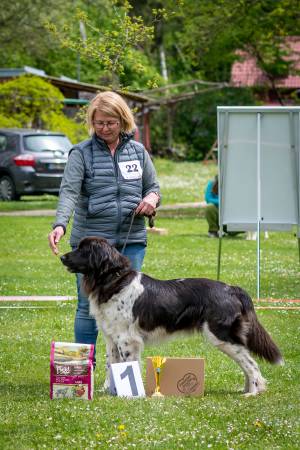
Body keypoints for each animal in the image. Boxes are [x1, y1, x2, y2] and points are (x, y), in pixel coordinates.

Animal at [60, 237, 282, 396]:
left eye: (82, 250)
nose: (62, 257)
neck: (113, 282)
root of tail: (232, 288)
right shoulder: (111, 338)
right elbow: (111, 365)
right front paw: (109, 391)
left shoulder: (127, 339)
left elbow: (127, 364)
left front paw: (130, 392)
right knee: (246, 360)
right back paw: (247, 389)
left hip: (220, 334)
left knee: (251, 363)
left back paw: (253, 392)